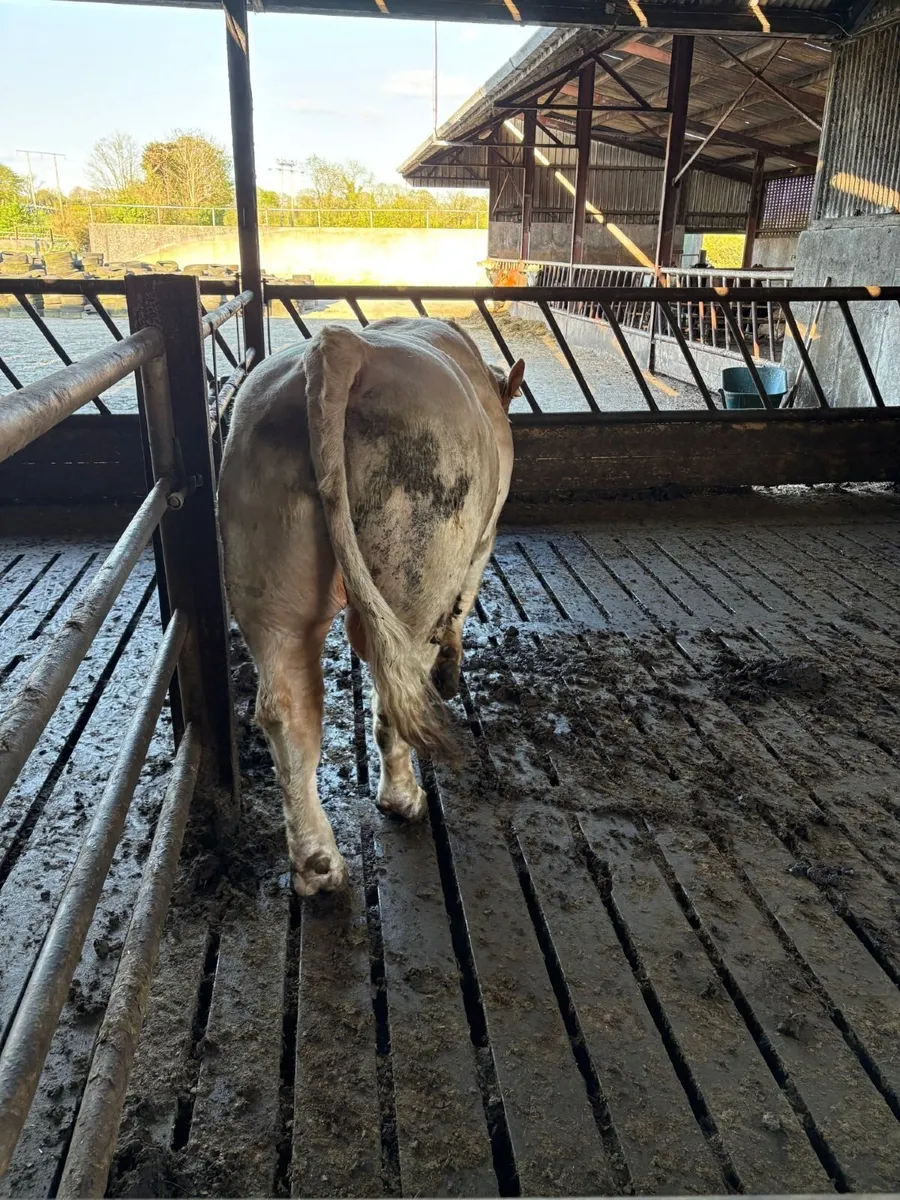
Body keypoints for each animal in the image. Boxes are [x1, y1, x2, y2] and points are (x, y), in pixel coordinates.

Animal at [217, 317, 524, 897]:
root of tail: (342, 347)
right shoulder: (483, 538)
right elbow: (462, 606)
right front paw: (452, 669)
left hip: (267, 575)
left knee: (287, 708)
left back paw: (319, 863)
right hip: (420, 560)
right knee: (395, 686)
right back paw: (404, 798)